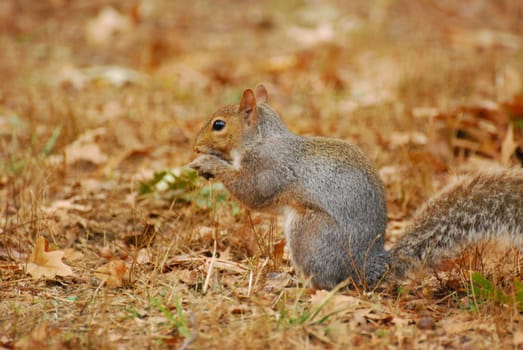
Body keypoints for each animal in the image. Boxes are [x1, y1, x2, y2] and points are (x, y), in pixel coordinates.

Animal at [189, 84, 523, 290]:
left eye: (218, 125)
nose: (195, 146)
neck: (261, 139)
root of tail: (365, 266)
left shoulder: (269, 168)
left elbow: (252, 193)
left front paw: (208, 163)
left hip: (310, 233)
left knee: (326, 283)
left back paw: (295, 285)